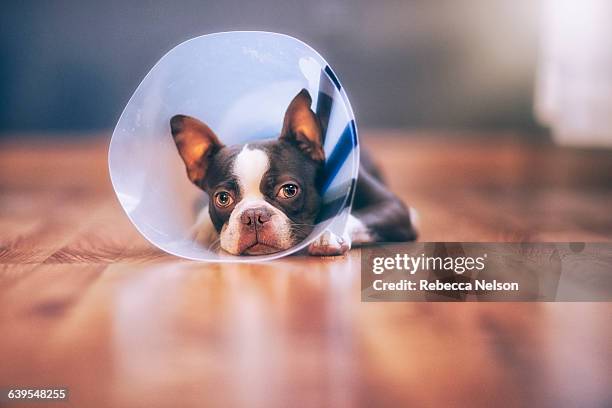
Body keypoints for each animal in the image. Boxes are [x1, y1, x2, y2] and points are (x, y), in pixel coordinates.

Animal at [171, 89, 416, 256]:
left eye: (289, 190)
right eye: (222, 198)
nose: (253, 216)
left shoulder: (393, 207)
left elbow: (358, 216)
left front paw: (329, 233)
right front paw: (201, 230)